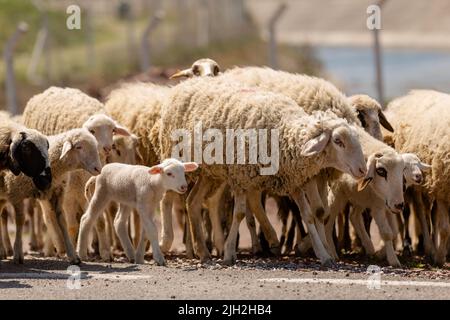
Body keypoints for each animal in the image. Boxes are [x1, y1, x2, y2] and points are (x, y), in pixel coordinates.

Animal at [0, 129, 101, 264]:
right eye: (79, 147)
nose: (98, 168)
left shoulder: (57, 193)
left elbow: (62, 221)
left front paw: (72, 255)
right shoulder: (16, 192)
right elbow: (20, 221)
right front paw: (18, 254)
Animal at [22, 85, 131, 260]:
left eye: (113, 130)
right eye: (92, 131)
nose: (108, 148)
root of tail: (52, 88)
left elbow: (99, 221)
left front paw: (105, 252)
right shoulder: (69, 194)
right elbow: (71, 226)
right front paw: (73, 249)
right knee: (48, 216)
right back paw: (54, 248)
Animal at [157, 77, 366, 264]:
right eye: (338, 141)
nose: (362, 170)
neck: (284, 132)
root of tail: (183, 83)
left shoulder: (294, 181)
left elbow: (309, 216)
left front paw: (323, 255)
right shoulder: (241, 177)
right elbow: (239, 214)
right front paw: (229, 253)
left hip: (209, 172)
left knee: (192, 202)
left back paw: (203, 251)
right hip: (177, 161)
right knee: (167, 198)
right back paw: (166, 242)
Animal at [384, 90, 450, 264]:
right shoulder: (441, 188)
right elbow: (445, 228)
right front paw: (440, 258)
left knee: (428, 213)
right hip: (416, 187)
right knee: (420, 212)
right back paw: (427, 248)